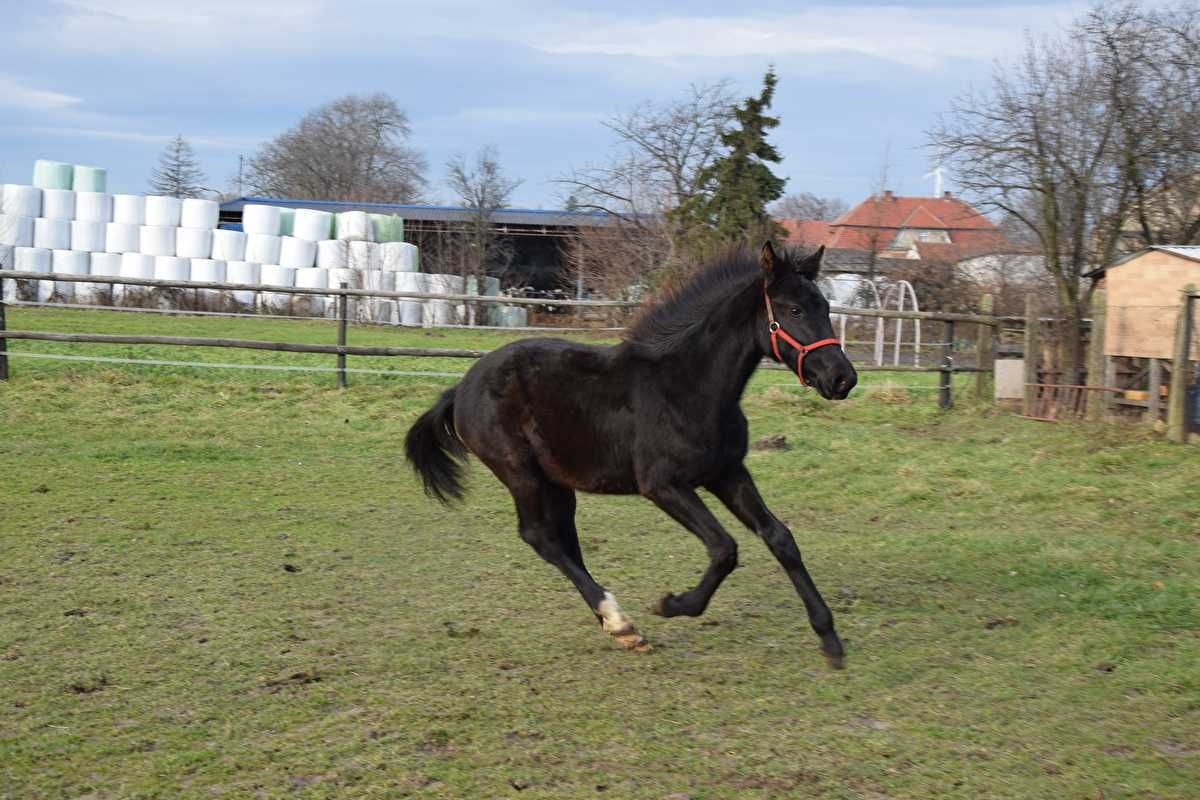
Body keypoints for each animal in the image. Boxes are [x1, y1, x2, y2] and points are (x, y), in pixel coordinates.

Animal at [408, 241, 859, 666]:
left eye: (825, 306)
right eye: (794, 309)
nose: (843, 378)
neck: (689, 388)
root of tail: (461, 388)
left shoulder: (728, 472)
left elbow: (780, 537)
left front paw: (829, 638)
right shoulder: (663, 485)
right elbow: (724, 548)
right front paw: (673, 604)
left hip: (558, 482)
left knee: (564, 540)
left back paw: (615, 624)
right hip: (520, 473)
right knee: (540, 537)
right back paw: (621, 622)